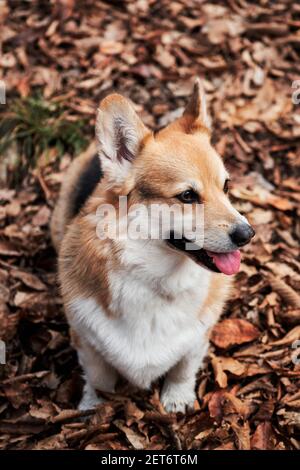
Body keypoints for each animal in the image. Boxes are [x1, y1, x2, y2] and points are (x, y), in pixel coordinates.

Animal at [51, 79, 253, 414]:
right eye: (187, 196)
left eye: (225, 187)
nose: (248, 234)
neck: (159, 279)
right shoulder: (86, 340)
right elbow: (98, 378)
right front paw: (94, 407)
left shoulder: (198, 337)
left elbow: (184, 367)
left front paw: (177, 398)